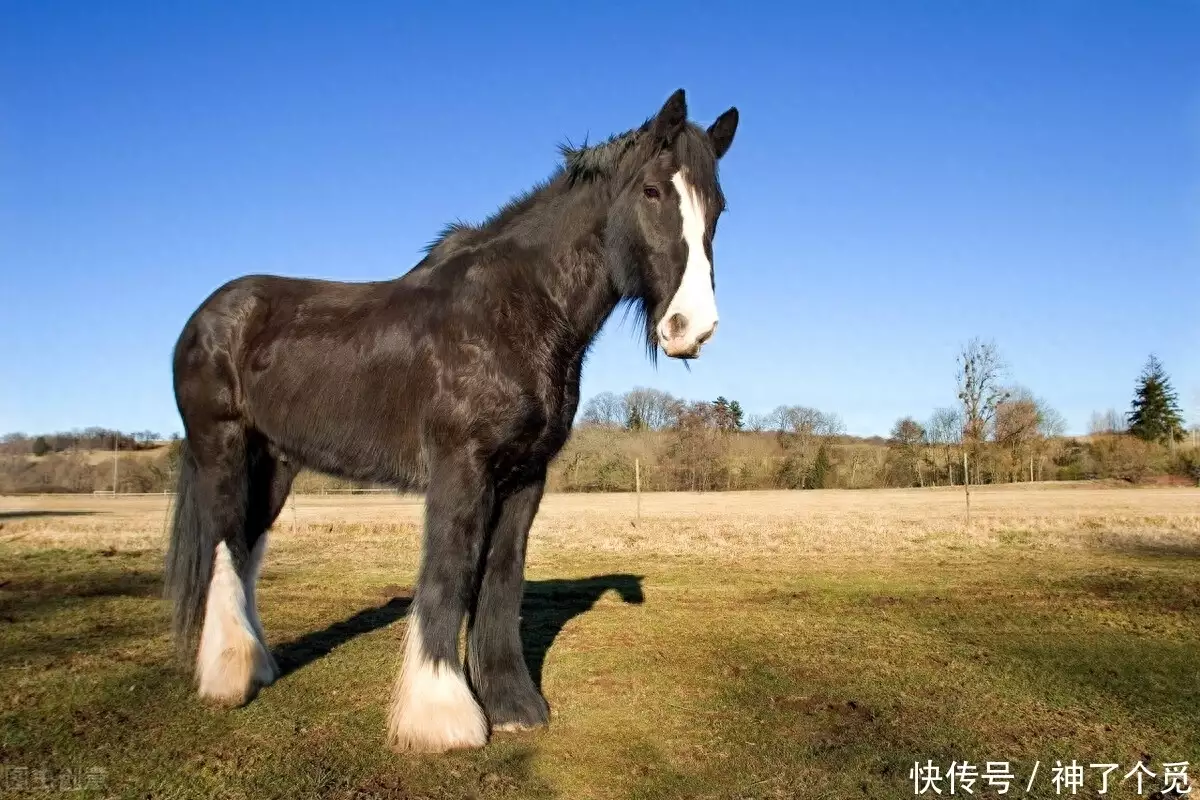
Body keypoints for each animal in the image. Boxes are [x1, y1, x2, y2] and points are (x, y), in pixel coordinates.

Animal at [164, 90, 734, 753]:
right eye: (651, 191)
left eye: (718, 206)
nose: (692, 328)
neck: (515, 311)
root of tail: (206, 317)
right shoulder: (460, 468)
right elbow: (449, 570)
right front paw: (442, 717)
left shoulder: (525, 475)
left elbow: (501, 580)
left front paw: (513, 706)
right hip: (222, 447)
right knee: (226, 545)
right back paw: (228, 678)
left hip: (275, 462)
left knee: (250, 546)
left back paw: (258, 666)